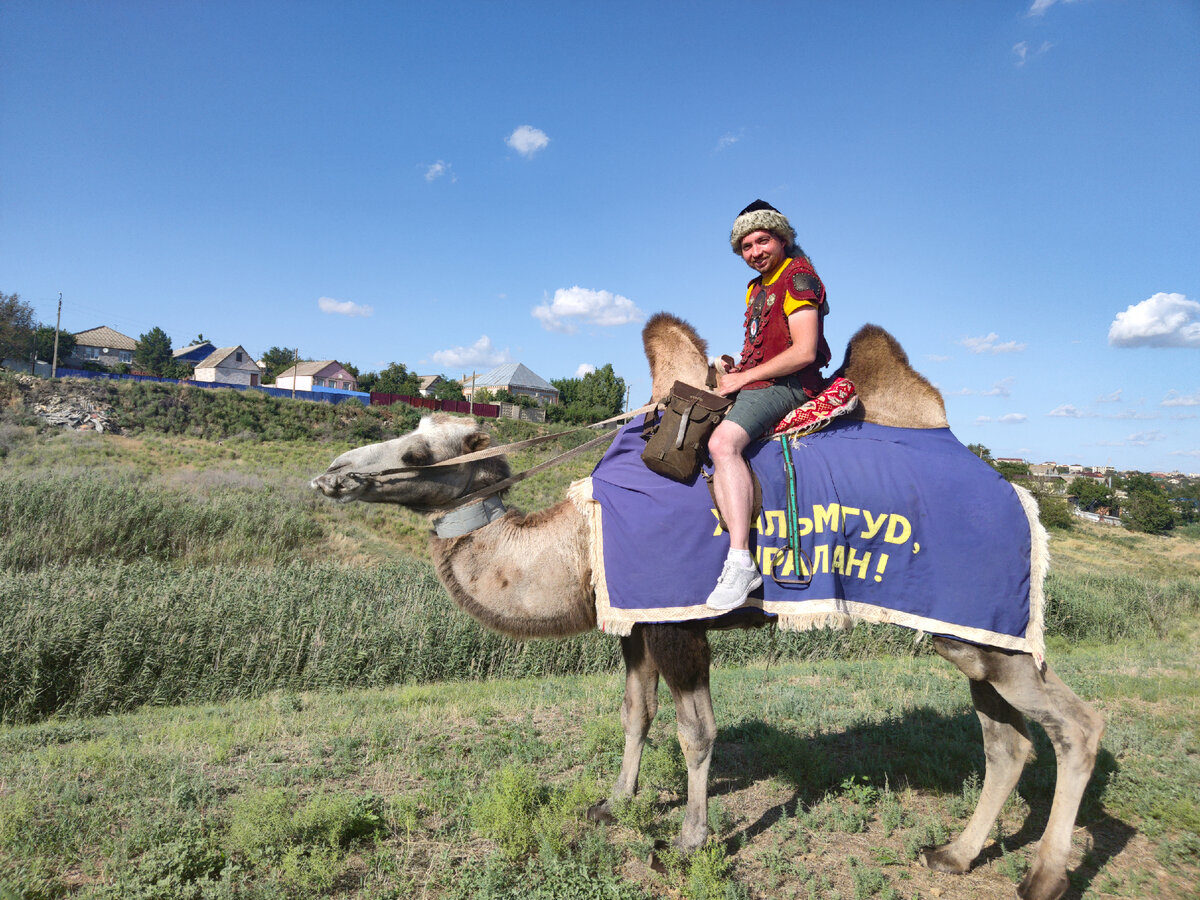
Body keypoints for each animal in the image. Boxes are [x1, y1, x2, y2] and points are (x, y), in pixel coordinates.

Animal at [312, 314, 1104, 900]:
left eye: (421, 455)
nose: (333, 474)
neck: (580, 539)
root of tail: (1022, 496)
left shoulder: (681, 622)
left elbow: (696, 731)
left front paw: (689, 841)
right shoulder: (638, 620)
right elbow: (635, 714)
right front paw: (616, 804)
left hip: (984, 626)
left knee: (1076, 725)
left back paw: (1042, 877)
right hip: (969, 634)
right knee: (1007, 739)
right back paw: (954, 855)